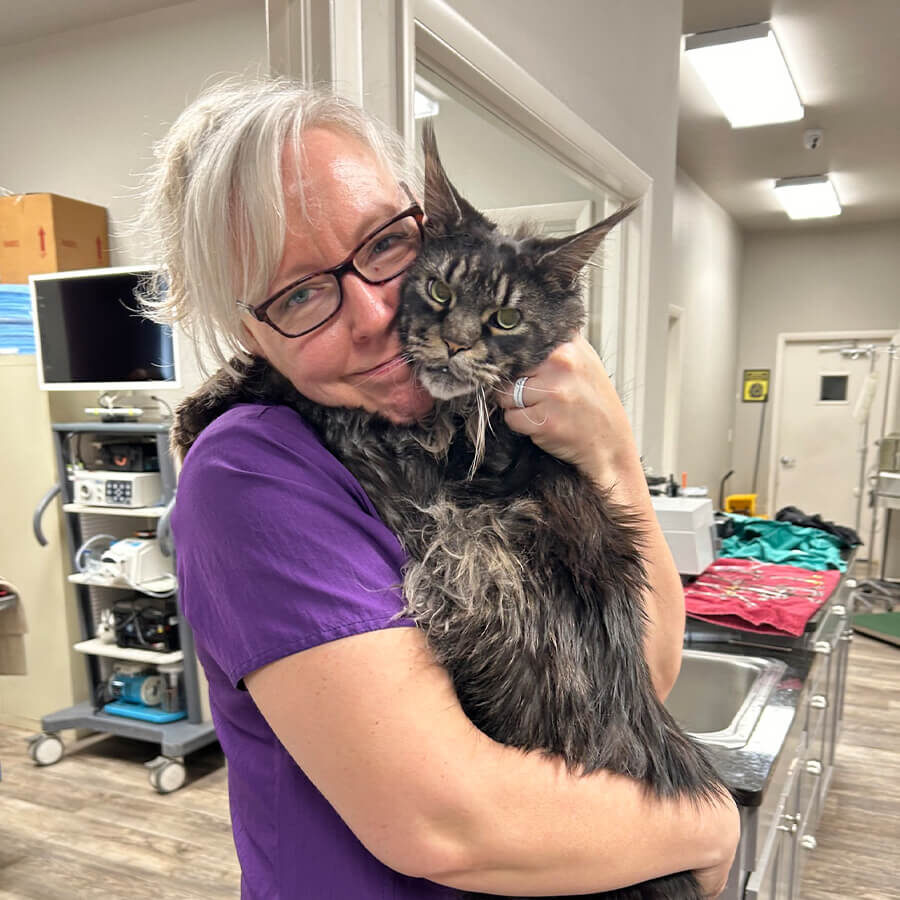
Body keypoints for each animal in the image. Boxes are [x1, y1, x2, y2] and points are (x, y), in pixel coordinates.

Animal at [172, 121, 728, 900]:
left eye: (506, 317)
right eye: (436, 288)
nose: (455, 342)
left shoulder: (408, 459)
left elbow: (313, 397)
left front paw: (207, 406)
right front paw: (210, 392)